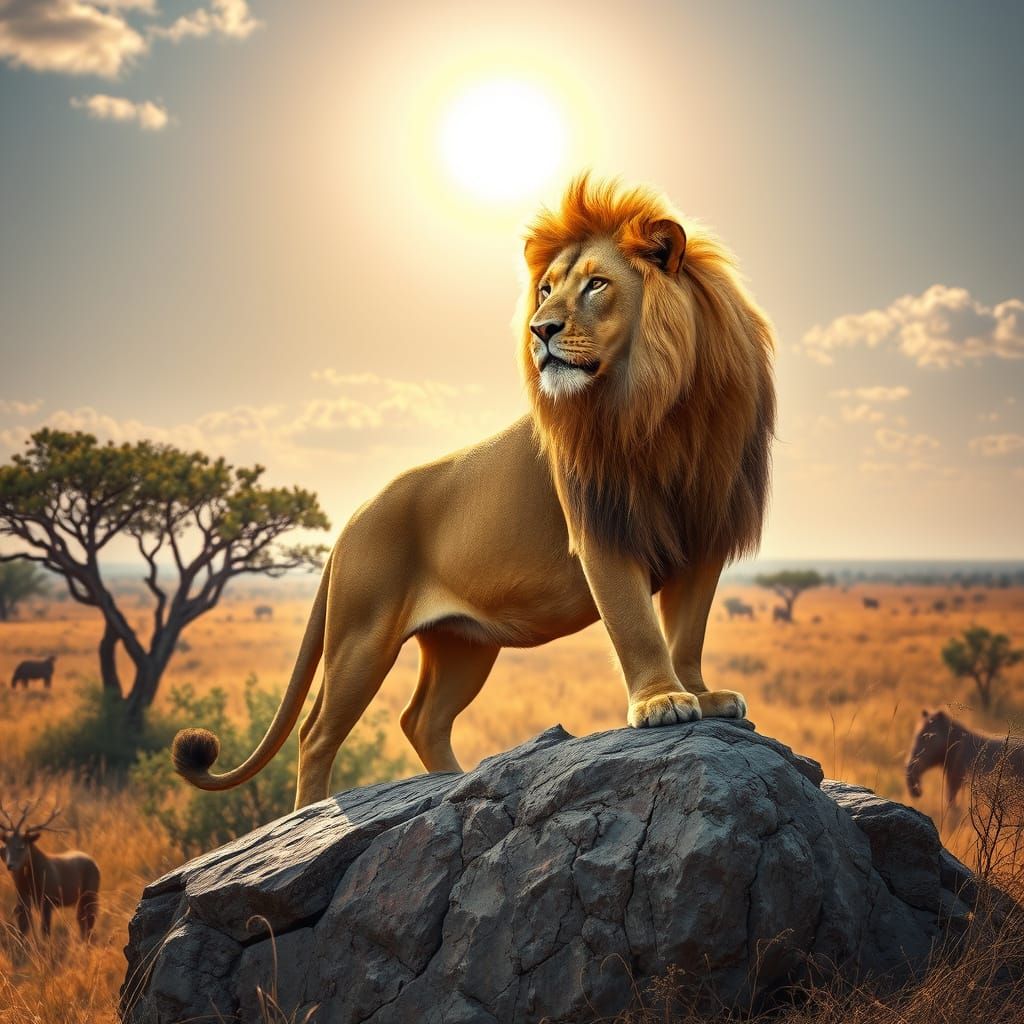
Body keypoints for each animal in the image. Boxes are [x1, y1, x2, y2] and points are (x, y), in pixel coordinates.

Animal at [172, 175, 777, 809]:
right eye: (544, 290)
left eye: (596, 284)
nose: (540, 330)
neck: (662, 406)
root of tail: (351, 520)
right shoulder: (601, 530)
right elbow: (635, 624)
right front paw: (661, 701)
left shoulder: (705, 533)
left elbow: (688, 633)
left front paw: (703, 696)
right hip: (361, 637)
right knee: (317, 736)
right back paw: (317, 810)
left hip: (464, 644)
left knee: (421, 719)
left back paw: (454, 783)